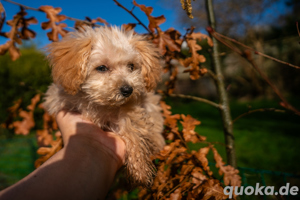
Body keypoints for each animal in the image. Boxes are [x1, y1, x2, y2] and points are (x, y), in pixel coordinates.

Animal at [43, 26, 165, 186]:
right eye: (102, 68)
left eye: (131, 66)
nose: (128, 90)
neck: (101, 104)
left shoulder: (131, 108)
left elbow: (131, 128)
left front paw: (140, 170)